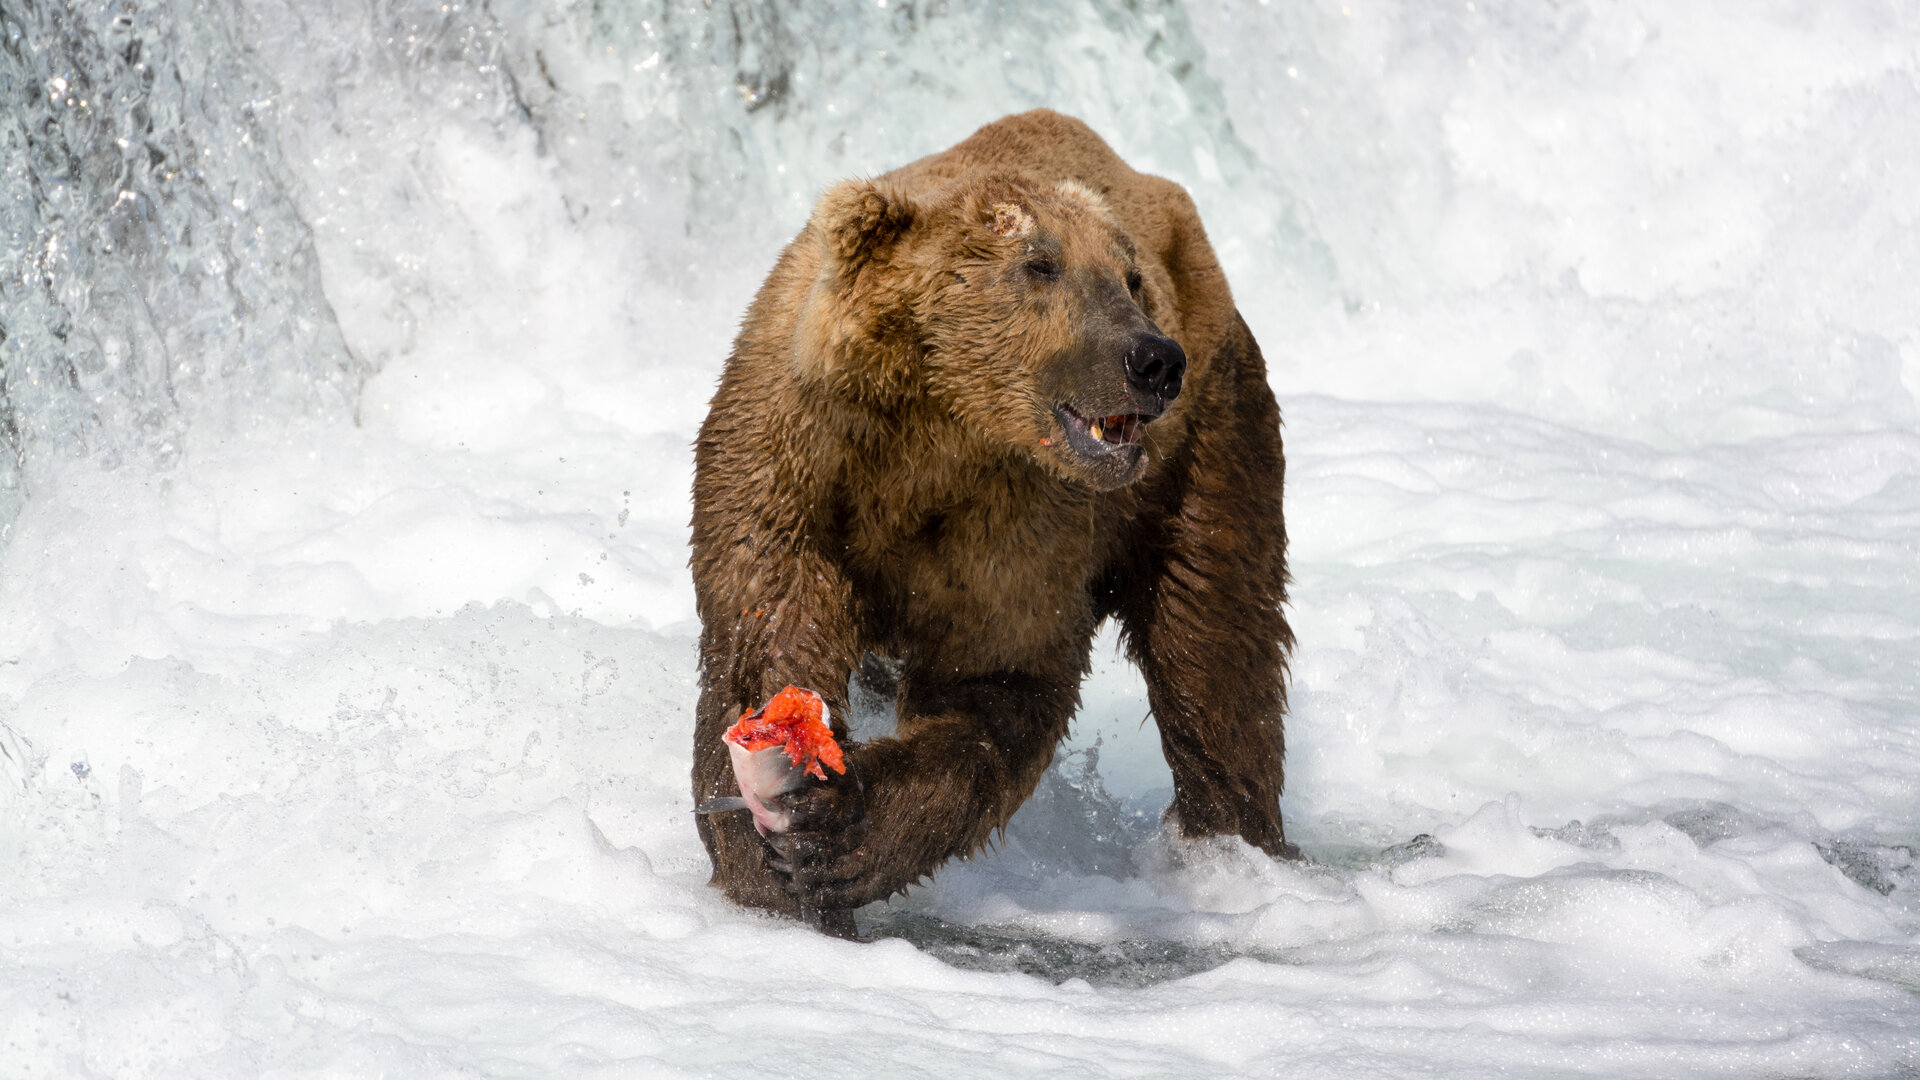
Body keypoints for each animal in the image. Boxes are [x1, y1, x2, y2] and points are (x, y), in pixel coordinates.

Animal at [691, 109, 1294, 934]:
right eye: (1040, 264)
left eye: (1131, 278)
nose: (1153, 359)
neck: (932, 430)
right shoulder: (797, 461)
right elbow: (763, 632)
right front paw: (763, 869)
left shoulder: (1015, 517)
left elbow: (995, 677)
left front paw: (833, 833)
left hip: (1205, 442)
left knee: (1214, 641)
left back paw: (1236, 846)